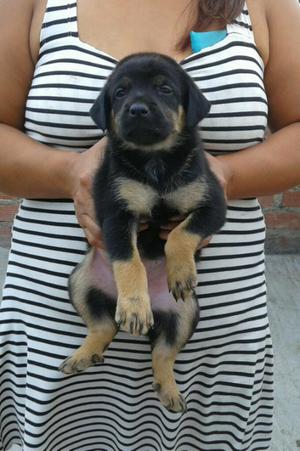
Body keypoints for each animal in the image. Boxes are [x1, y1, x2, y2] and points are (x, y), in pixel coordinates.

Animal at [59, 52, 226, 414]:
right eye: (120, 92)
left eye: (165, 89)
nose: (137, 109)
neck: (155, 160)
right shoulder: (117, 215)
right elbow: (130, 262)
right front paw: (135, 305)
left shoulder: (213, 206)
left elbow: (180, 234)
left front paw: (180, 272)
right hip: (80, 282)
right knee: (103, 326)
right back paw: (85, 353)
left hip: (186, 315)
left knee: (163, 353)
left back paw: (169, 389)